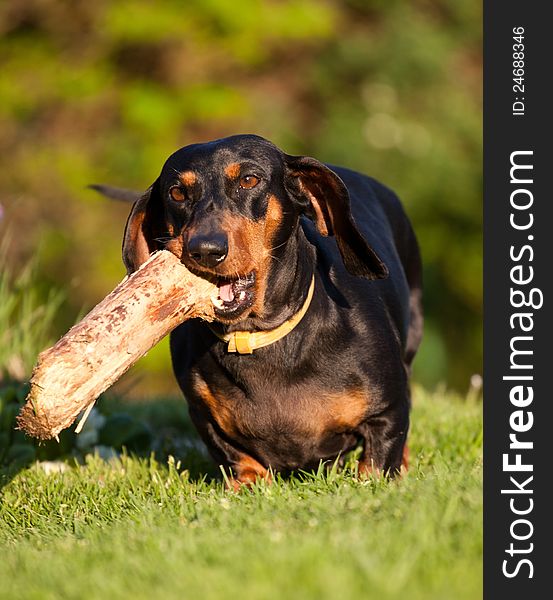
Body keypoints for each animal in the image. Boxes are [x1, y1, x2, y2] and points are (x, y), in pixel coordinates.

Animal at [96, 135, 422, 488]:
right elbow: (239, 459)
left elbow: (377, 463)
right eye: (177, 193)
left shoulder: (386, 413)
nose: (205, 250)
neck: (257, 338)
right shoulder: (205, 418)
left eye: (249, 180)